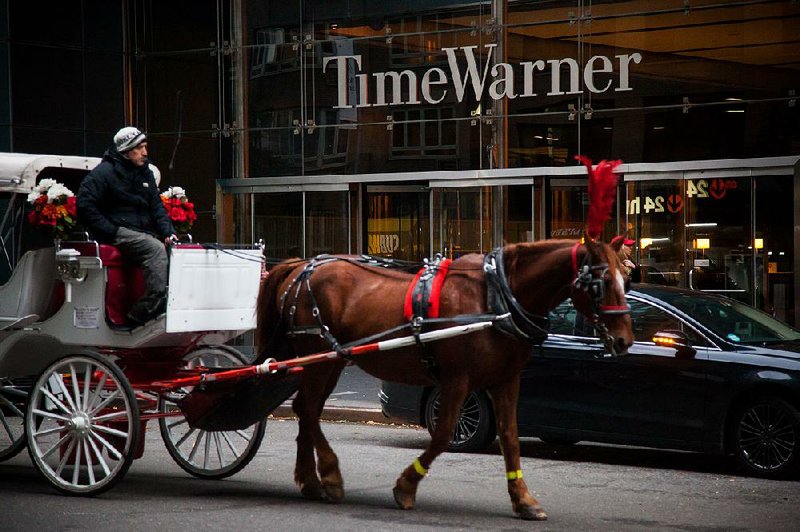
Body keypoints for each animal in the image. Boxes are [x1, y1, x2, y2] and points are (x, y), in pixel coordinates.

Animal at [255, 238, 632, 520]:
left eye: (626, 279)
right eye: (600, 284)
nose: (624, 340)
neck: (496, 299)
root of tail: (301, 266)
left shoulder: (506, 381)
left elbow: (510, 438)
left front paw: (523, 499)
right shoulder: (457, 380)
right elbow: (443, 435)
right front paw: (406, 486)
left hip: (329, 362)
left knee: (306, 410)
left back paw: (310, 480)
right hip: (319, 359)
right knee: (308, 410)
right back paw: (329, 476)